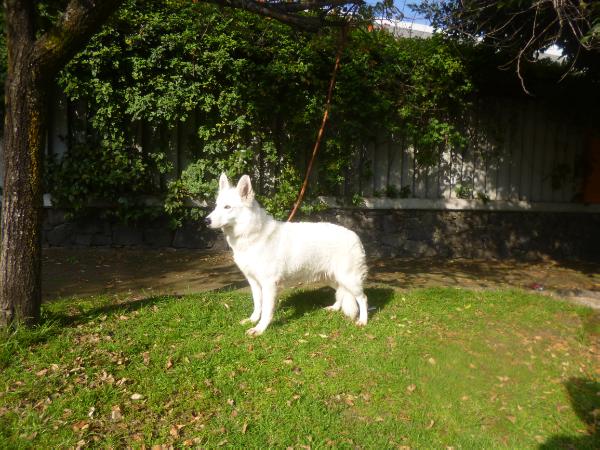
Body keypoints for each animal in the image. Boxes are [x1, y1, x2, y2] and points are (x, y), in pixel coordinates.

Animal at [204, 174, 368, 336]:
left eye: (227, 207)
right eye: (216, 206)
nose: (206, 221)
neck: (252, 234)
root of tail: (356, 236)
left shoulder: (269, 284)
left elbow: (266, 310)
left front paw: (260, 328)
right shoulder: (254, 282)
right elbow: (258, 305)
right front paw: (253, 320)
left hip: (349, 279)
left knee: (362, 298)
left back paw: (363, 321)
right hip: (332, 277)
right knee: (341, 291)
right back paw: (334, 308)